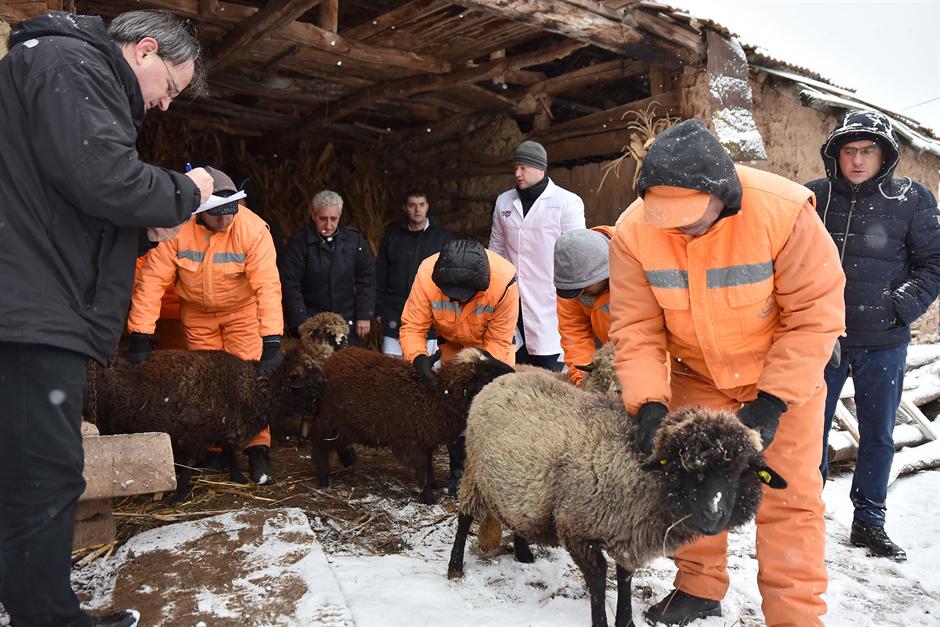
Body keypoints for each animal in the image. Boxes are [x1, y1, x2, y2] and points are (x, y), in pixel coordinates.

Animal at [310, 348, 516, 506]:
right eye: (485, 372)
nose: (513, 371)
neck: (438, 398)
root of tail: (329, 364)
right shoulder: (412, 443)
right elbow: (422, 469)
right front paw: (429, 498)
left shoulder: (427, 441)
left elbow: (429, 466)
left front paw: (434, 485)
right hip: (330, 421)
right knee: (319, 445)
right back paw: (323, 479)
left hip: (344, 426)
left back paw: (348, 460)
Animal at [448, 370, 784, 627]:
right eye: (683, 466)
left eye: (741, 471)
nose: (713, 518)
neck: (641, 474)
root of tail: (503, 378)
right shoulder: (577, 529)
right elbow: (599, 579)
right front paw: (602, 621)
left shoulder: (627, 529)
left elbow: (624, 576)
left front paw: (626, 621)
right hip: (475, 472)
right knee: (464, 517)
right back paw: (455, 567)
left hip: (520, 485)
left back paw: (523, 552)